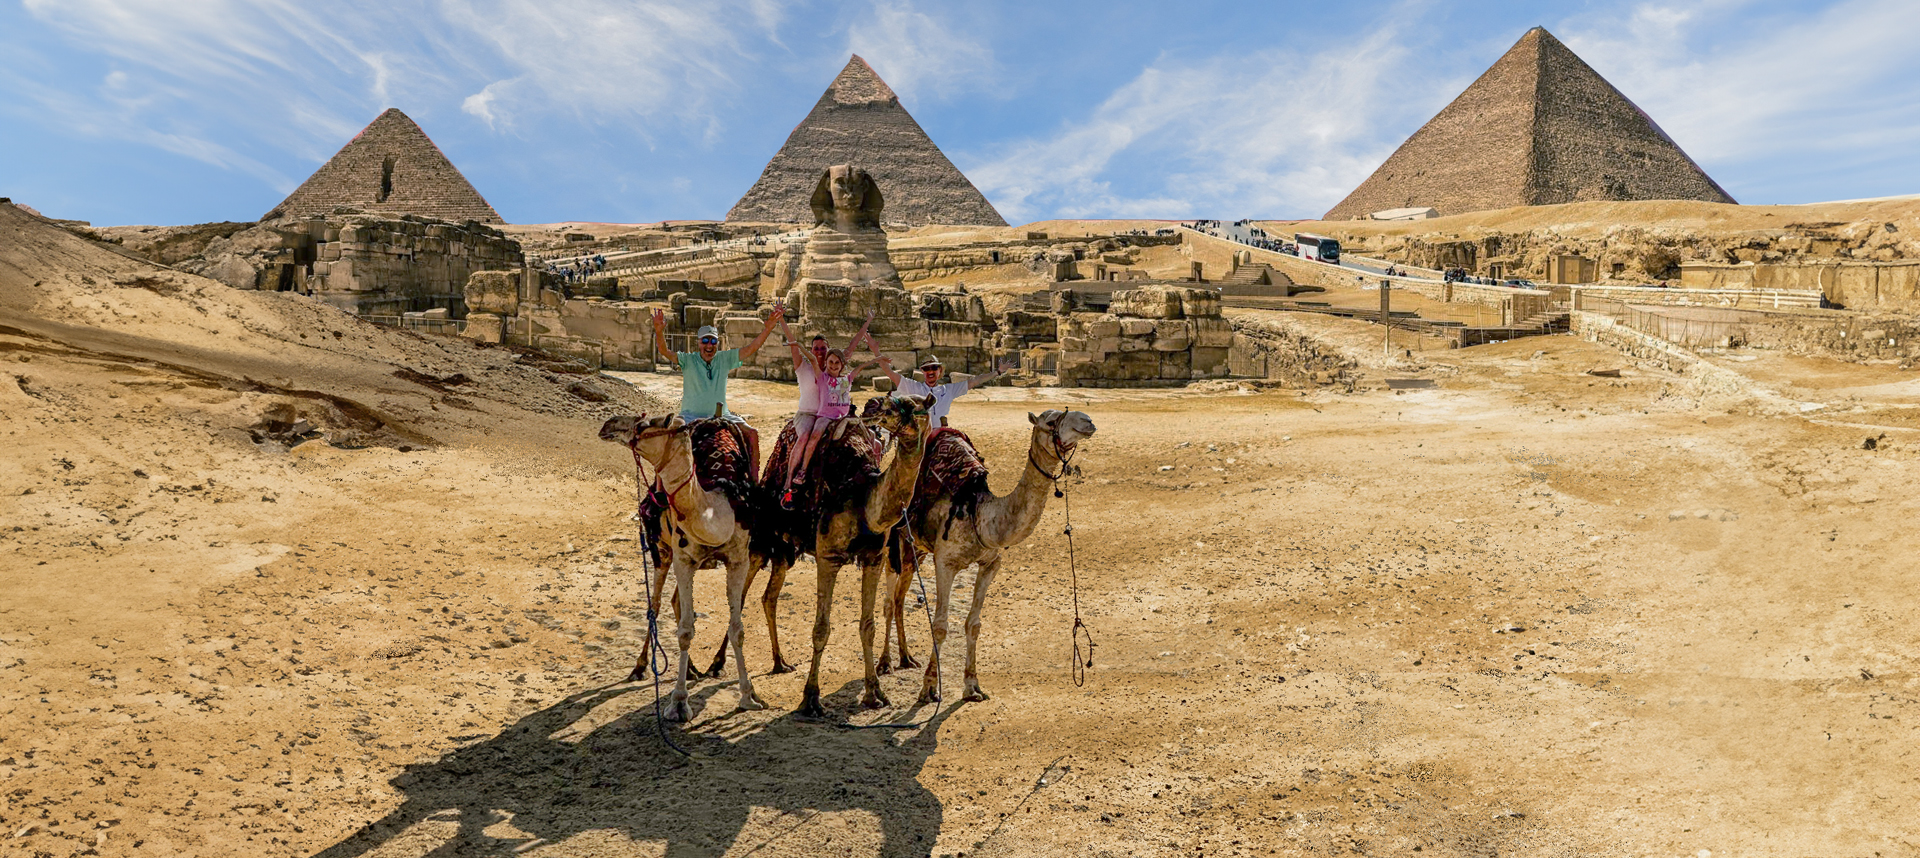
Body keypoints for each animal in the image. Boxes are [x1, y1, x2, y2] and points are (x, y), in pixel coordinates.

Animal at [598, 414, 765, 720]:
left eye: (644, 424)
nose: (608, 424)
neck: (714, 510)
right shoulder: (683, 560)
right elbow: (686, 631)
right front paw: (677, 703)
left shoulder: (739, 559)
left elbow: (737, 629)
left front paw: (748, 696)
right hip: (662, 554)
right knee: (655, 604)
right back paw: (641, 667)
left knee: (674, 601)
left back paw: (692, 670)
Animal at [883, 409, 1097, 705]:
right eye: (1050, 422)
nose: (1087, 421)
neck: (981, 514)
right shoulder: (945, 563)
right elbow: (940, 627)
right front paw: (928, 688)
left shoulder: (990, 564)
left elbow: (974, 624)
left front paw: (972, 687)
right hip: (891, 540)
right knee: (887, 601)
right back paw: (884, 664)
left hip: (915, 548)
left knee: (900, 596)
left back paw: (906, 658)